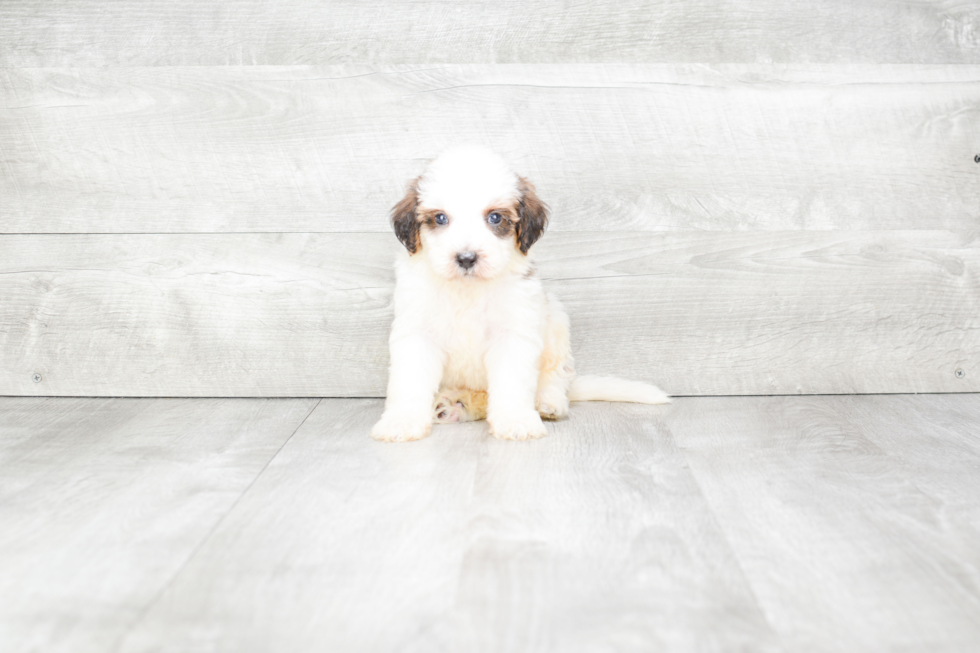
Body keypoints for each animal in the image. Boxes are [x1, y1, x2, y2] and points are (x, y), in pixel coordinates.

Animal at [372, 146, 668, 444]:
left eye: (495, 217)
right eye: (440, 218)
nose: (466, 258)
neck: (468, 289)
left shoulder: (515, 332)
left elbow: (513, 382)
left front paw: (516, 421)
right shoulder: (417, 332)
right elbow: (410, 382)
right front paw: (402, 422)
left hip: (555, 320)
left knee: (556, 374)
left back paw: (549, 402)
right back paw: (457, 404)